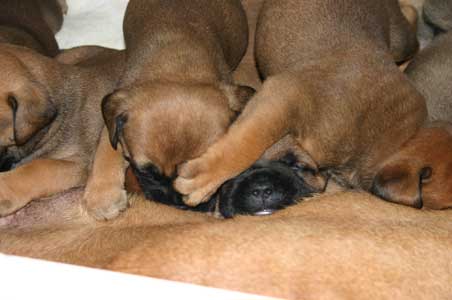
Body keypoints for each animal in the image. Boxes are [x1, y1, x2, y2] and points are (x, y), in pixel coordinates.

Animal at [84, 0, 254, 220]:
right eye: (145, 173)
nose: (178, 205)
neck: (177, 71)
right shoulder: (118, 112)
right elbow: (107, 149)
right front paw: (103, 194)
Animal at [175, 0, 430, 207]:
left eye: (299, 167)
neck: (391, 136)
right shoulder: (286, 93)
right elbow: (249, 141)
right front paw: (204, 178)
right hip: (401, 41)